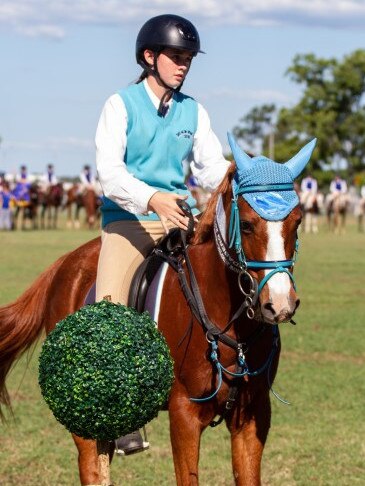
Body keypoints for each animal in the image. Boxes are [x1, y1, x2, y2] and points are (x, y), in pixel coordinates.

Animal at [0, 135, 312, 484]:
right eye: (245, 224)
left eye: (297, 222)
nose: (280, 304)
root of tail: (65, 263)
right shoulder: (184, 414)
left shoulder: (253, 415)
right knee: (92, 466)